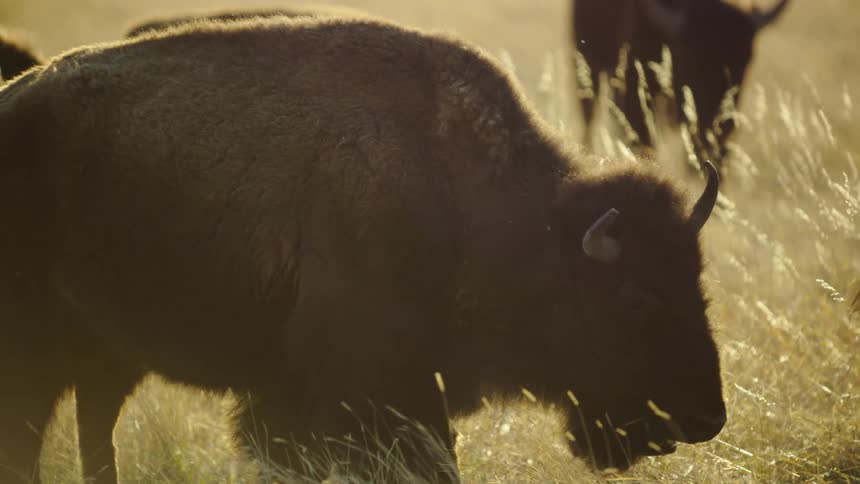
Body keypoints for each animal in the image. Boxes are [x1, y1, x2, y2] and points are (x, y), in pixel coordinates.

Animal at [0, 17, 725, 483]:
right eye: (635, 297)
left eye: (699, 285)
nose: (708, 417)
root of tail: (16, 101)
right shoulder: (358, 396)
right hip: (40, 351)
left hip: (107, 357)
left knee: (92, 433)